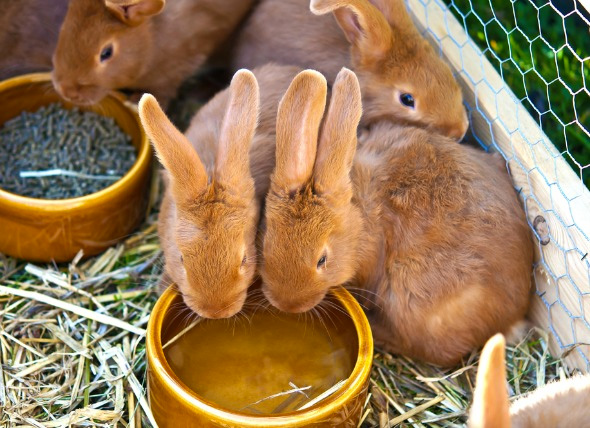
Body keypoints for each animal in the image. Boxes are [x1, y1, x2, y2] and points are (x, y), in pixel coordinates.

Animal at [262, 67, 536, 364]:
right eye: (266, 243)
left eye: (322, 260)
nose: (287, 304)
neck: (360, 216)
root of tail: (513, 316)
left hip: (412, 299)